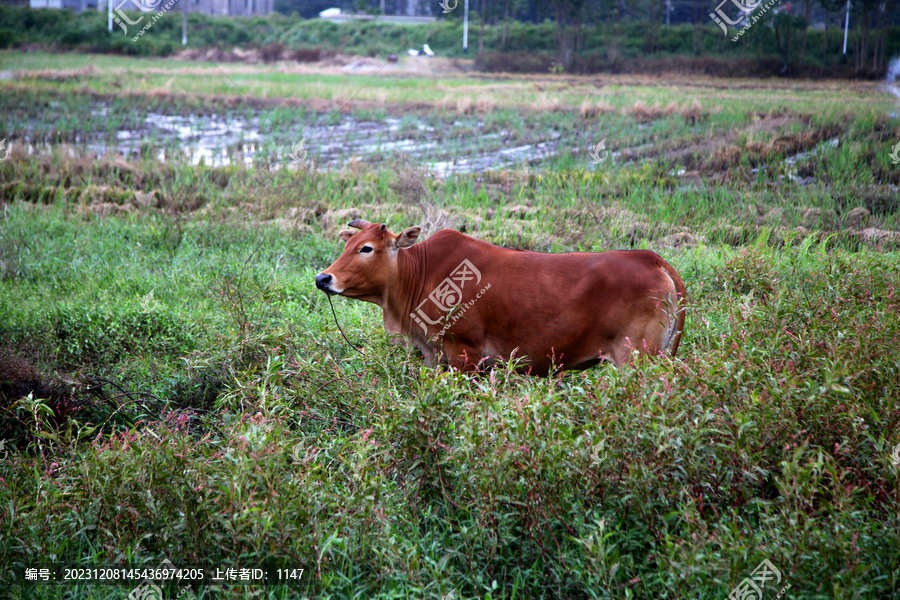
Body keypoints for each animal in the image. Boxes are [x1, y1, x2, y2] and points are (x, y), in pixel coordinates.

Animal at [318, 220, 688, 372]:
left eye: (367, 248)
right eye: (348, 244)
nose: (323, 278)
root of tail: (649, 258)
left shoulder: (464, 354)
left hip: (637, 359)